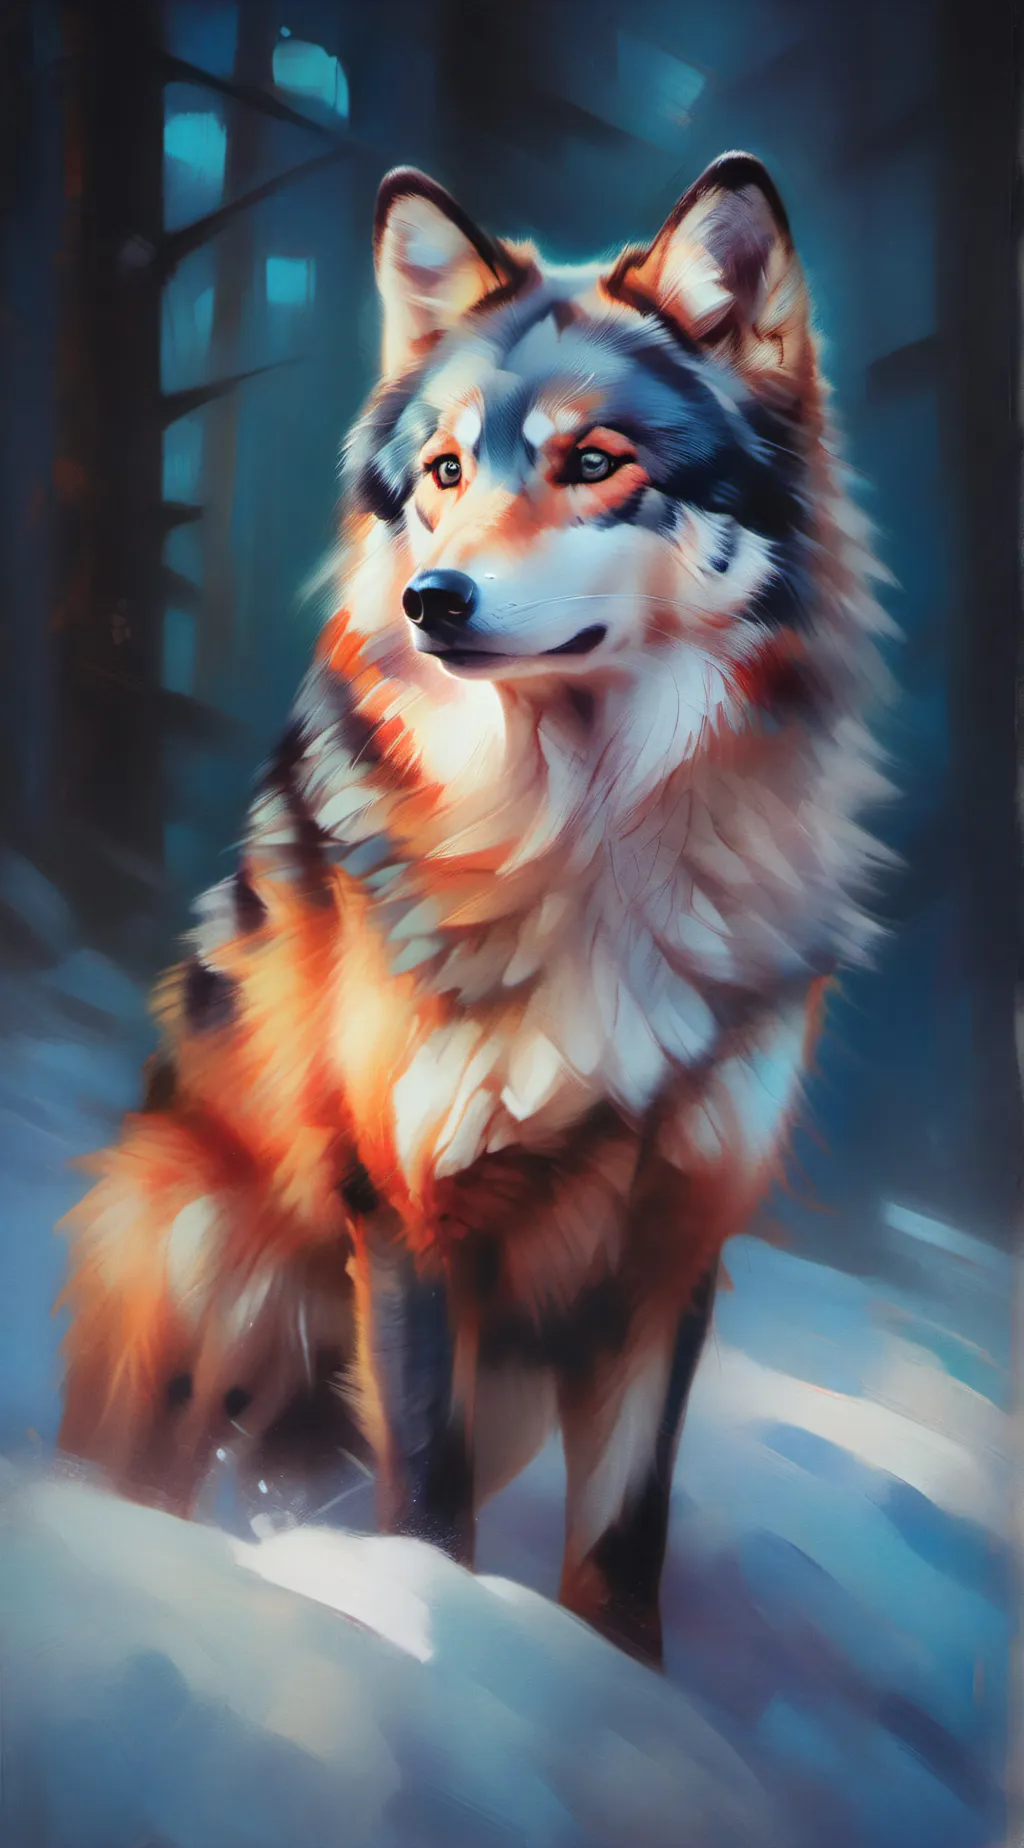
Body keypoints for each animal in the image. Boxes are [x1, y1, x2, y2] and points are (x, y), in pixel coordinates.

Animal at [57, 153, 891, 1666]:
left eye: (595, 463)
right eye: (444, 474)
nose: (431, 599)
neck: (590, 844)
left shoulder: (673, 1248)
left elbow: (622, 1545)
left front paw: (623, 1695)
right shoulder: (408, 1222)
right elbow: (428, 1500)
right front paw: (445, 1644)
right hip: (203, 1244)